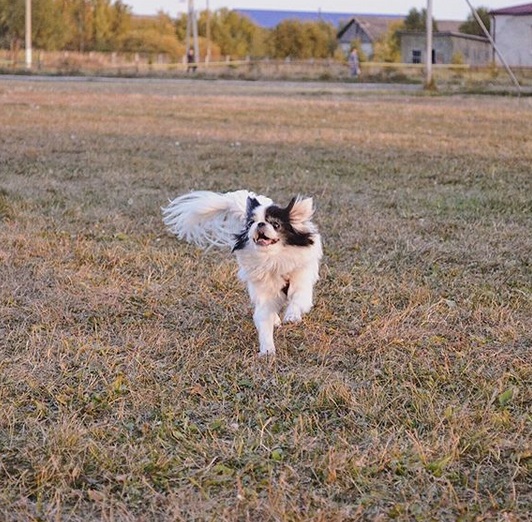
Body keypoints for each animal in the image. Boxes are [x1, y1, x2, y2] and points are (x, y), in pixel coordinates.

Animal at [162, 189, 322, 356]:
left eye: (276, 224)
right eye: (251, 223)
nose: (260, 224)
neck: (272, 260)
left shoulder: (301, 285)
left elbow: (297, 300)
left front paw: (291, 316)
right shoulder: (263, 295)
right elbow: (264, 322)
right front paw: (267, 350)